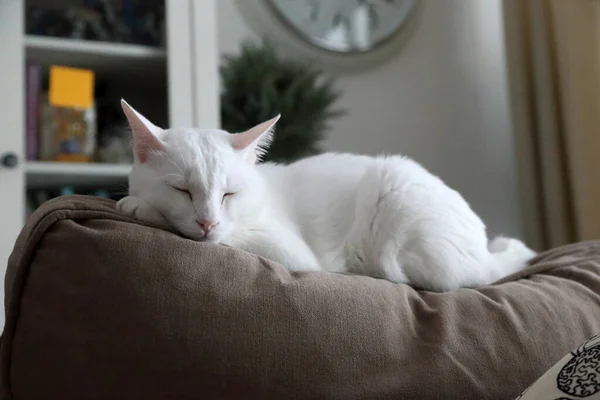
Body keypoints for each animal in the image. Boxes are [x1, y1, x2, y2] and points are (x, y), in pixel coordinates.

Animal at [116, 100, 536, 292]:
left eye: (228, 194)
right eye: (182, 190)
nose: (207, 221)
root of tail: (484, 252)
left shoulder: (288, 251)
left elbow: (226, 239)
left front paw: (138, 206)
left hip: (393, 189)